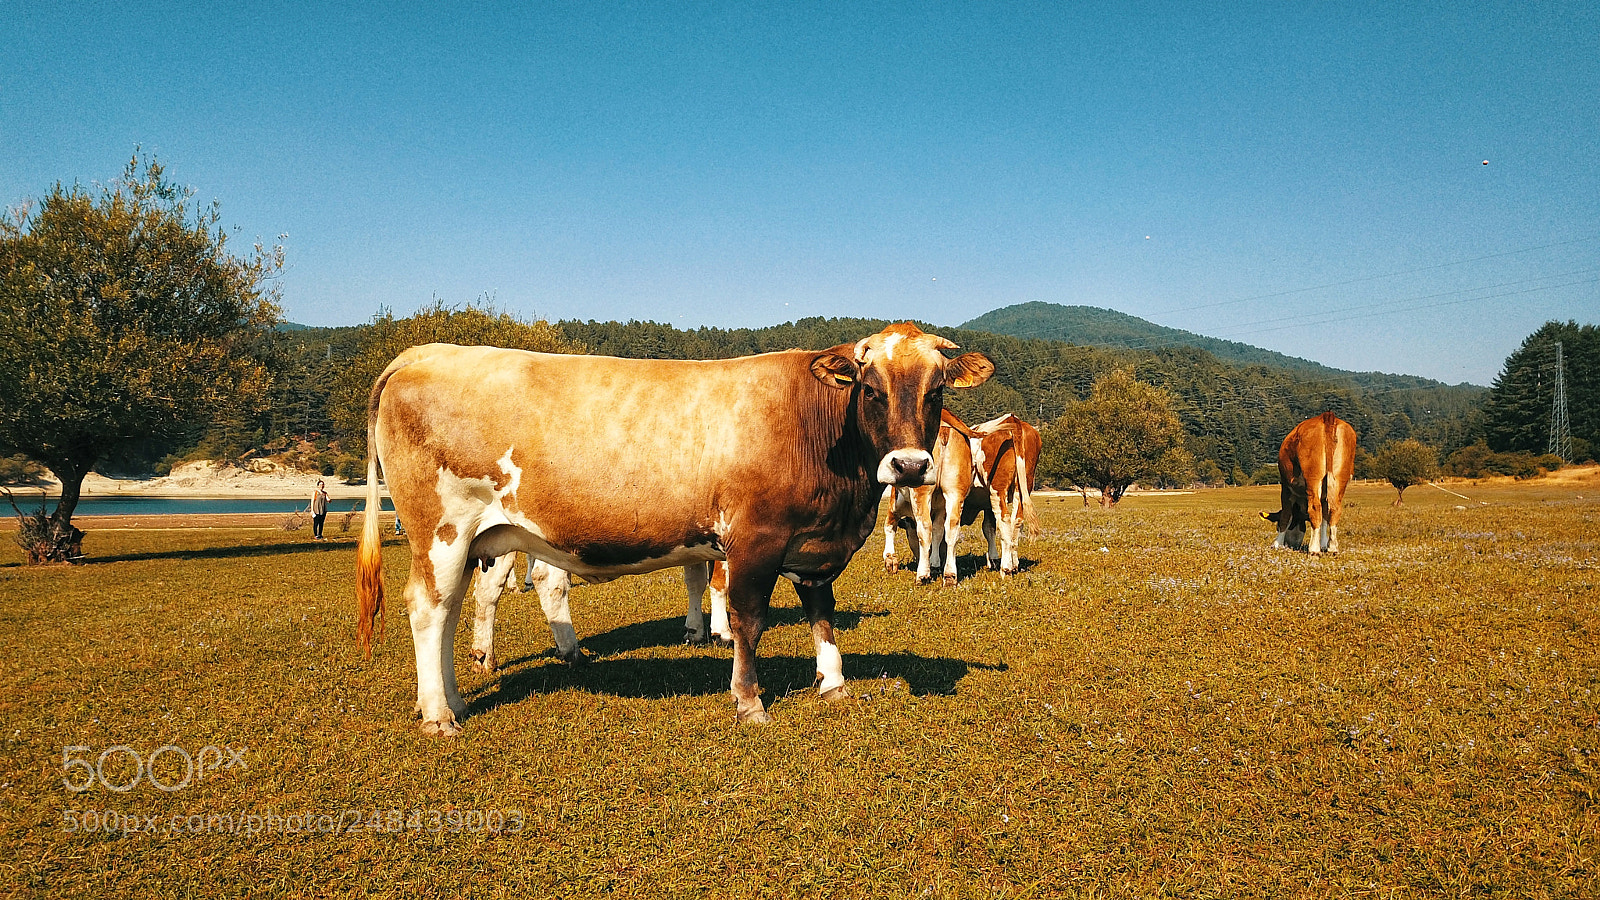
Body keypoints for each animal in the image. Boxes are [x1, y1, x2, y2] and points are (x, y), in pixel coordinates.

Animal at [882, 409, 981, 586]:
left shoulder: (895, 503)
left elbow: (889, 525)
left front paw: (890, 561)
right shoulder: (941, 508)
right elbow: (938, 532)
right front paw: (935, 563)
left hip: (921, 491)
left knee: (925, 528)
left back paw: (922, 575)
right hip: (955, 492)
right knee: (952, 530)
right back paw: (949, 575)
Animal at [1260, 412, 1357, 555]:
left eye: (1276, 526)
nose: (1291, 544)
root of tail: (1327, 416)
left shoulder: (1286, 488)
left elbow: (1286, 516)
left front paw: (1277, 543)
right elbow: (1324, 518)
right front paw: (1324, 544)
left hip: (1313, 478)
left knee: (1315, 508)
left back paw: (1314, 549)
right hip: (1340, 478)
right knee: (1335, 509)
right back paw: (1332, 547)